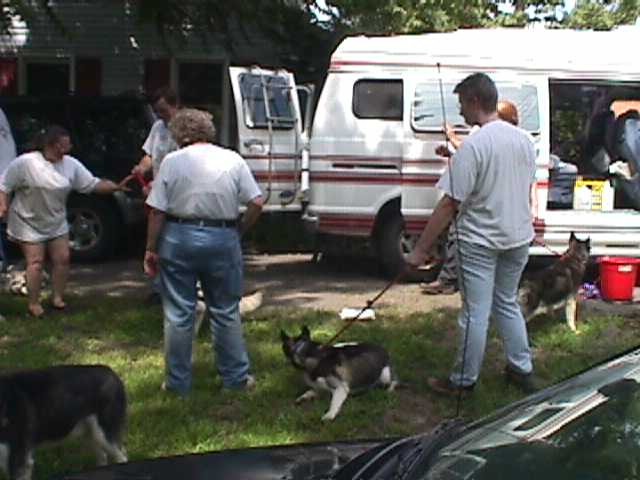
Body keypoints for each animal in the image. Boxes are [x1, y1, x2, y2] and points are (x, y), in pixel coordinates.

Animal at [0, 364, 129, 480]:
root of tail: (111, 372)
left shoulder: (19, 460)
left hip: (104, 436)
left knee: (122, 457)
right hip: (90, 436)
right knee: (102, 457)